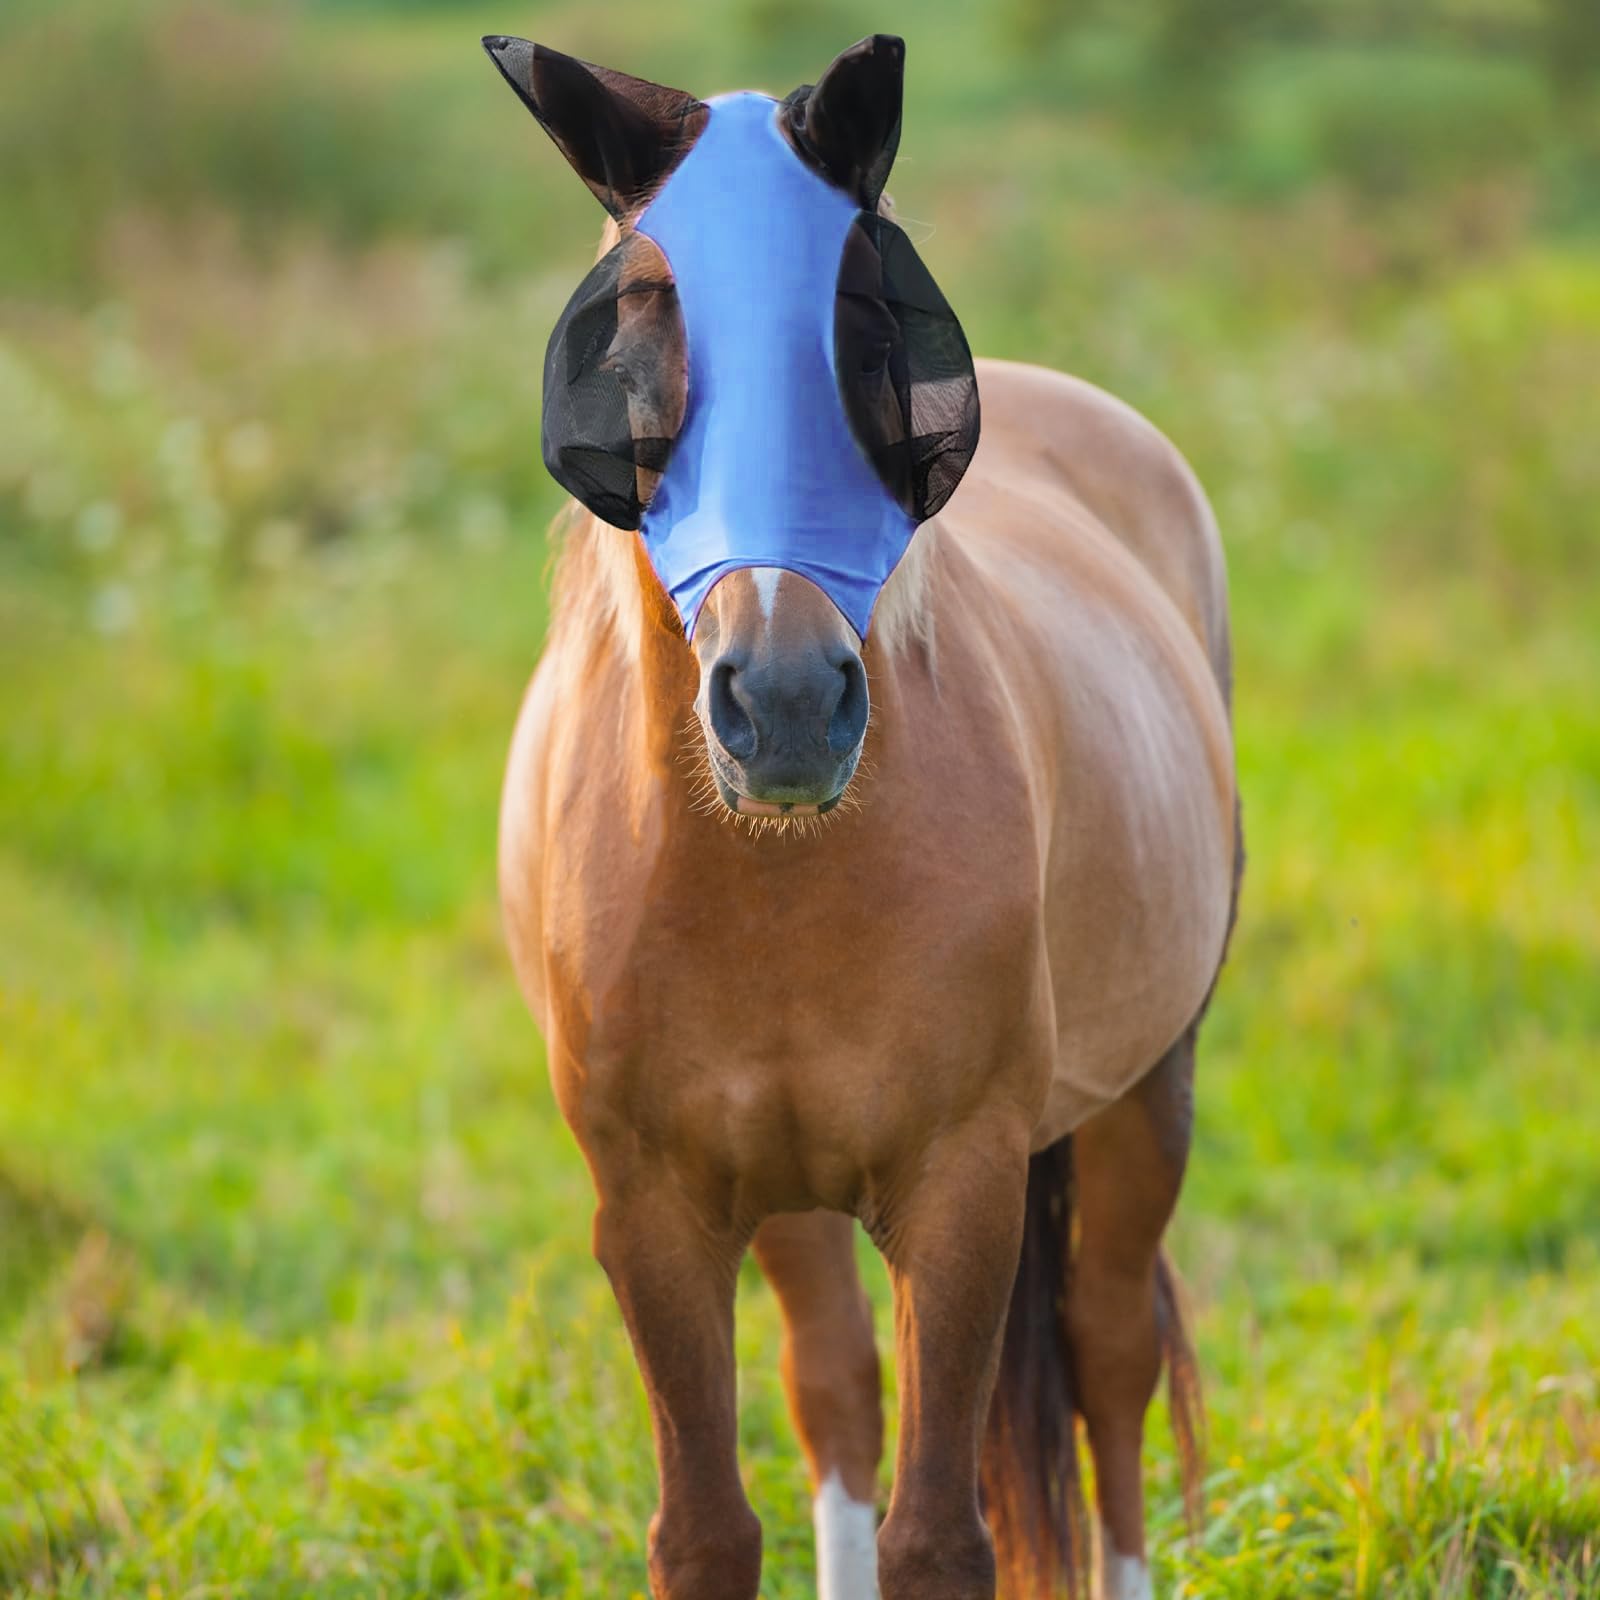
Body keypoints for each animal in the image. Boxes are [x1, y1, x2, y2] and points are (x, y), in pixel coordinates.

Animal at [486, 32, 1240, 1600]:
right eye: (640, 318)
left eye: (866, 326)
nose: (782, 700)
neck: (770, 882)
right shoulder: (655, 1215)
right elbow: (710, 1527)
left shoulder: (962, 1193)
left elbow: (940, 1534)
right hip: (788, 1200)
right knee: (833, 1386)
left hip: (1148, 1091)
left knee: (1111, 1356)